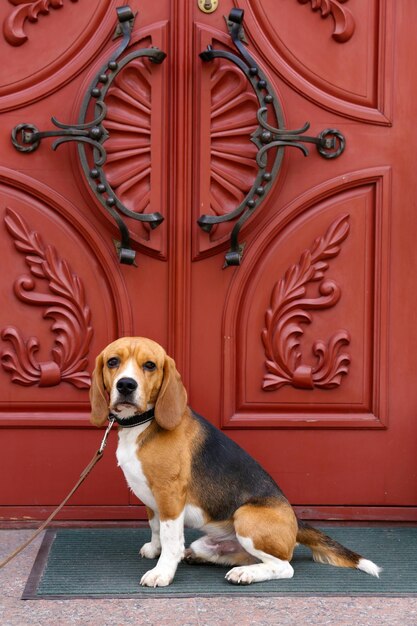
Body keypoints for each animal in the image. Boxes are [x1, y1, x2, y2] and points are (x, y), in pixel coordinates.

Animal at [90, 336, 380, 584]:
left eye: (149, 365)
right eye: (112, 361)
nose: (126, 385)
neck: (142, 423)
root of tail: (297, 524)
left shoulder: (169, 494)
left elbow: (171, 538)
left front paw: (162, 572)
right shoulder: (152, 499)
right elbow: (155, 525)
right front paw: (154, 548)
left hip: (245, 516)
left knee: (284, 566)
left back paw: (245, 574)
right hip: (212, 541)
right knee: (238, 556)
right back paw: (205, 558)